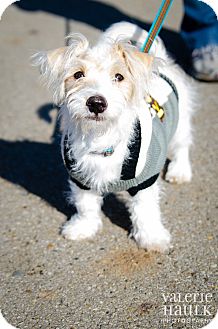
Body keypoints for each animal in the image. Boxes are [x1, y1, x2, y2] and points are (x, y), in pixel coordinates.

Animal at [32, 21, 194, 251]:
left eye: (119, 77)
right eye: (78, 75)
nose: (96, 103)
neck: (101, 138)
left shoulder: (145, 182)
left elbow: (146, 211)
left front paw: (152, 238)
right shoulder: (81, 179)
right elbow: (86, 207)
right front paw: (82, 228)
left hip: (180, 124)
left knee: (182, 146)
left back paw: (180, 171)